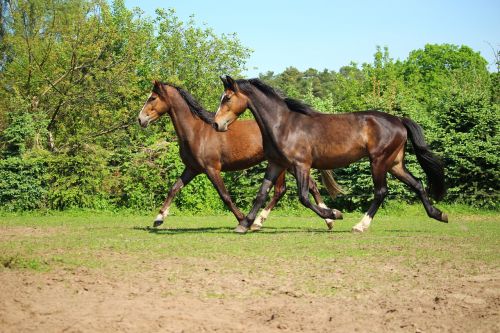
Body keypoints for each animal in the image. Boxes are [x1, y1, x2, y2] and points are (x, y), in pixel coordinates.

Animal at [137, 81, 342, 230]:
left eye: (152, 98)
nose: (140, 119)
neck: (197, 131)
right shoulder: (192, 169)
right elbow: (174, 188)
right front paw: (158, 219)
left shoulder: (212, 169)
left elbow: (225, 196)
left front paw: (242, 219)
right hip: (283, 165)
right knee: (287, 189)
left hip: (289, 164)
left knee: (301, 188)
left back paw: (329, 219)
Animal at [213, 75, 448, 232]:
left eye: (227, 98)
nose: (216, 124)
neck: (283, 124)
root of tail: (399, 120)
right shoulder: (276, 164)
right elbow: (262, 193)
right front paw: (245, 224)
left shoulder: (301, 165)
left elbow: (304, 197)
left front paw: (334, 214)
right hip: (395, 163)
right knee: (417, 183)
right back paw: (439, 214)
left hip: (379, 161)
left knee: (381, 191)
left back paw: (360, 225)